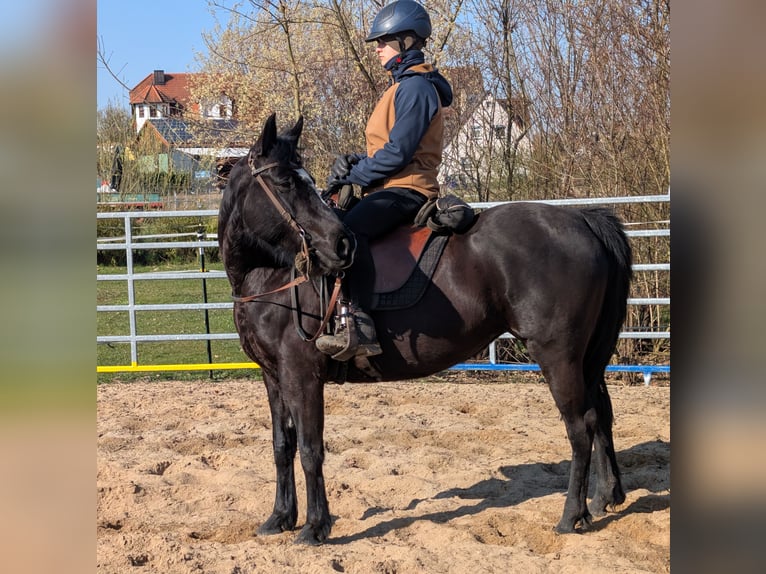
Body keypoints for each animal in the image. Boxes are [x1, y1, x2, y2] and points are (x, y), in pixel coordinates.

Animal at [218, 114, 633, 545]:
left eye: (303, 181)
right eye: (285, 181)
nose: (342, 245)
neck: (269, 275)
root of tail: (583, 218)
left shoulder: (302, 374)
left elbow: (311, 448)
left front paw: (316, 526)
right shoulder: (273, 375)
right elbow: (282, 445)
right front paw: (279, 517)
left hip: (557, 354)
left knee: (580, 427)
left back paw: (571, 515)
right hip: (587, 357)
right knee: (601, 414)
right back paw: (605, 496)